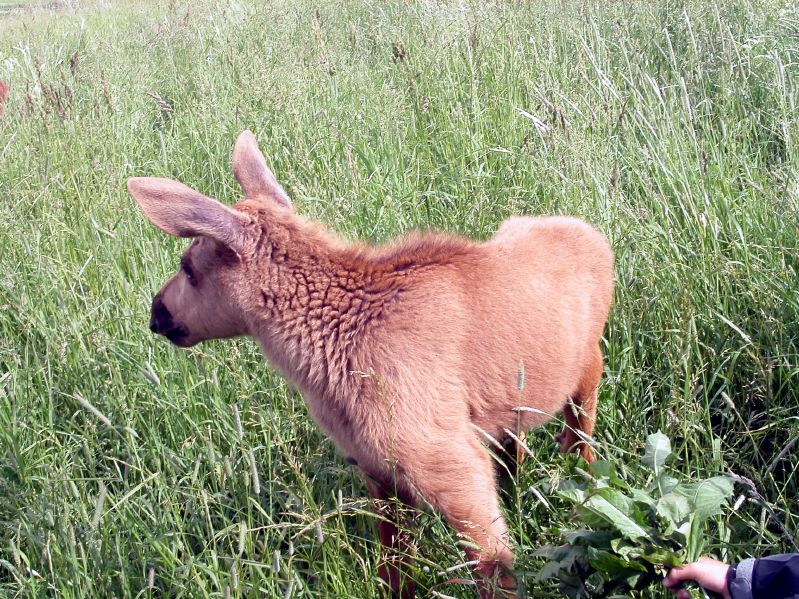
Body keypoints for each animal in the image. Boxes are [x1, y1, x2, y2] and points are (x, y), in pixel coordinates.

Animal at [128, 130, 612, 596]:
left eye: (188, 267)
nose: (156, 314)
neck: (330, 358)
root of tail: (596, 237)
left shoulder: (451, 463)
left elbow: (495, 570)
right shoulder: (380, 472)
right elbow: (394, 569)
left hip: (588, 368)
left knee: (580, 439)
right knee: (517, 448)